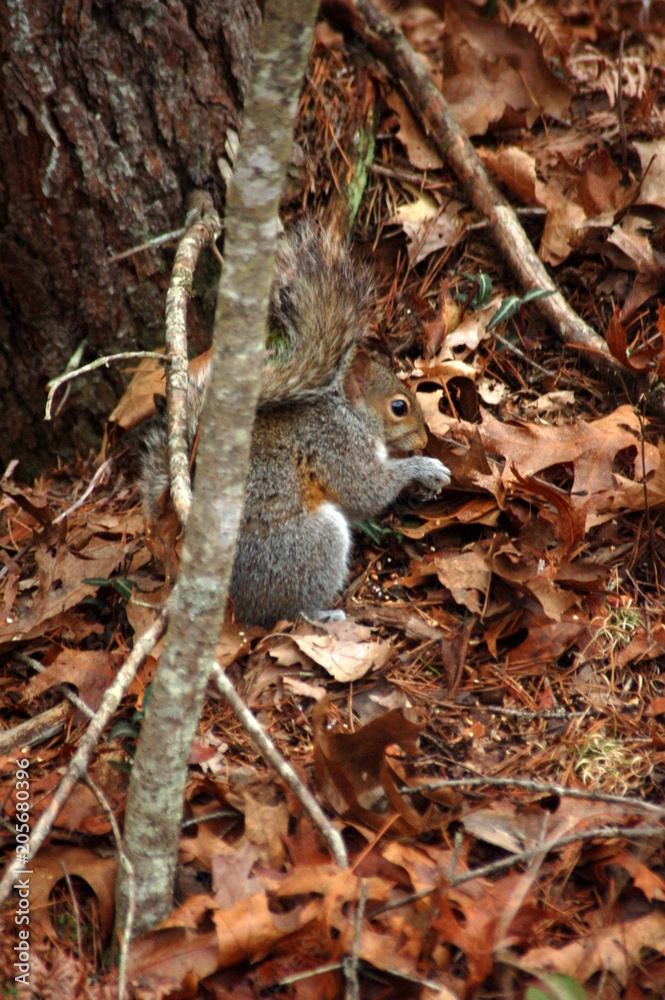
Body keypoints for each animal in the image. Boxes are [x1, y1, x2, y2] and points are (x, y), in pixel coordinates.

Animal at [140, 221, 450, 627]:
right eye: (399, 407)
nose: (424, 438)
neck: (349, 413)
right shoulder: (337, 445)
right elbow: (366, 489)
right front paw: (425, 468)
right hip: (310, 546)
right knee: (288, 609)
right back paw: (323, 613)